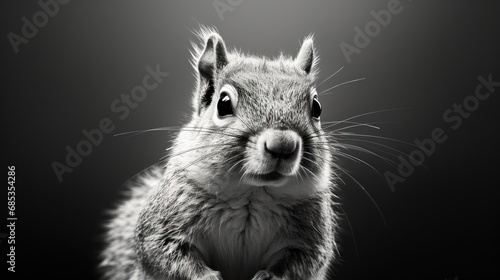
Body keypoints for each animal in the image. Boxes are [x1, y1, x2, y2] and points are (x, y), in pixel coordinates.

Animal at [100, 27, 338, 280]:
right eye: (223, 104)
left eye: (316, 108)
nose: (282, 144)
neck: (252, 194)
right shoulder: (163, 225)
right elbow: (162, 253)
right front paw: (206, 276)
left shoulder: (309, 238)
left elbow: (304, 262)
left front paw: (270, 276)